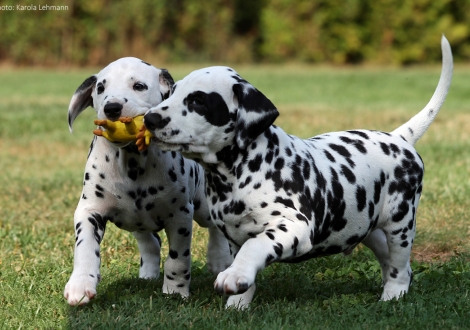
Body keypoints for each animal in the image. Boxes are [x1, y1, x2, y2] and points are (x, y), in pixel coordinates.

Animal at [63, 57, 229, 306]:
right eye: (100, 88)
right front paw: (81, 283)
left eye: (139, 86)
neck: (132, 162)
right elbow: (85, 247)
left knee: (213, 227)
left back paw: (218, 258)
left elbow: (178, 259)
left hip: (202, 207)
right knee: (150, 242)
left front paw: (175, 290)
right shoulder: (90, 210)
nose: (112, 108)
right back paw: (148, 272)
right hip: (133, 221)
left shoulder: (180, 216)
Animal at [143, 36, 452, 310]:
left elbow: (255, 246)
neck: (237, 175)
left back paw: (392, 296)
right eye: (171, 93)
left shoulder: (293, 227)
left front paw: (234, 277)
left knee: (400, 266)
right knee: (396, 264)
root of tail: (399, 137)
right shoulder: (233, 235)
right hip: (368, 228)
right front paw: (238, 302)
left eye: (198, 102)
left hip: (401, 224)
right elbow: (244, 261)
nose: (150, 119)